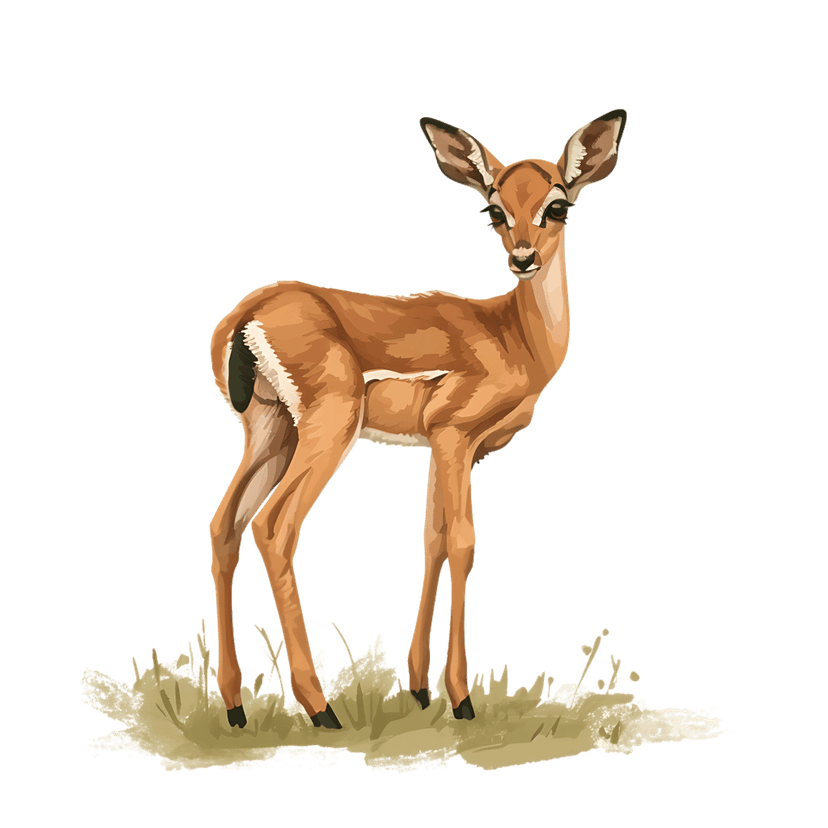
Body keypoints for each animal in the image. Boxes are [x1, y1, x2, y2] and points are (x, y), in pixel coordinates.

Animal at [208, 109, 628, 728]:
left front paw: (421, 689)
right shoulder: (454, 435)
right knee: (274, 526)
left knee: (224, 524)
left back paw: (236, 707)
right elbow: (462, 543)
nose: (523, 258)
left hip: (270, 431)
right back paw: (321, 709)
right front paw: (461, 699)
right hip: (328, 429)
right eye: (493, 209)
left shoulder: (440, 447)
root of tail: (248, 313)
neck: (512, 336)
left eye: (558, 205)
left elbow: (430, 540)